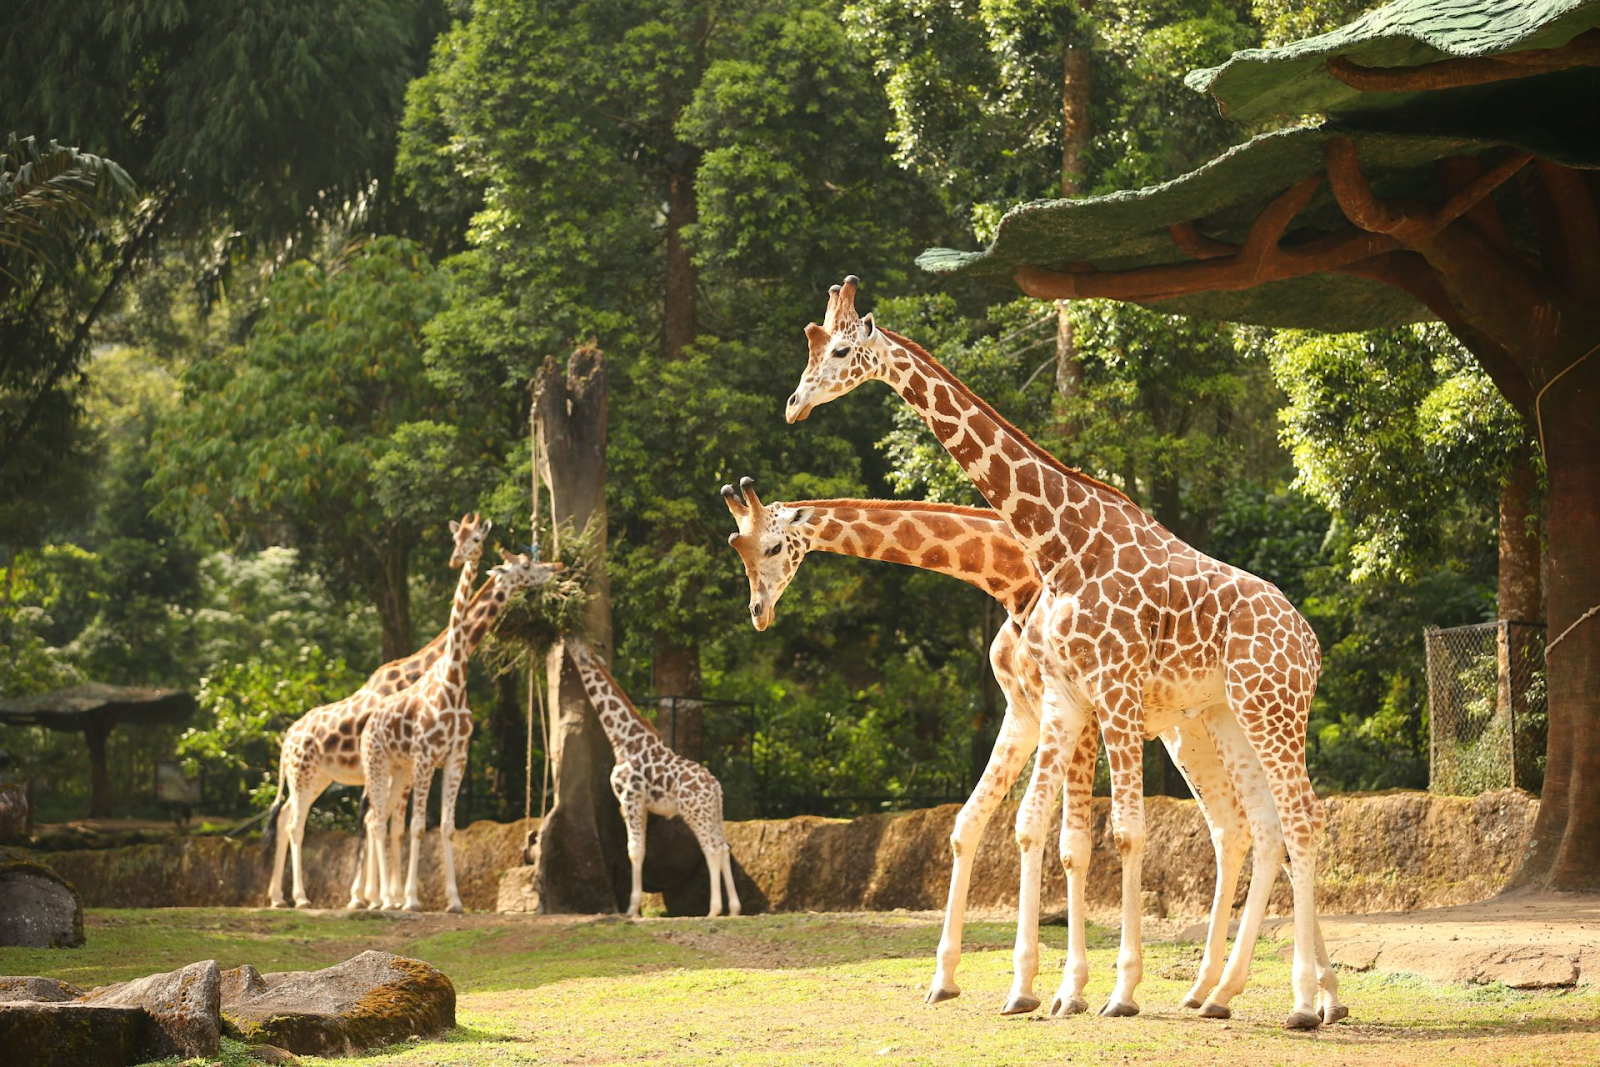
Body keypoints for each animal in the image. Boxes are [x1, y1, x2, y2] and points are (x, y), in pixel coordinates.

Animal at [265, 515, 489, 908]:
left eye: (476, 538)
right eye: (458, 538)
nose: (456, 558)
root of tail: (287, 737)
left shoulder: (418, 764)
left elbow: (391, 824)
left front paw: (383, 896)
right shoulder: (404, 763)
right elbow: (384, 824)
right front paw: (380, 897)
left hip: (316, 778)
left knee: (286, 818)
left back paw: (279, 897)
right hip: (305, 775)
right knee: (295, 824)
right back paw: (302, 898)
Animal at [363, 550, 563, 908]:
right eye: (526, 565)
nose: (557, 567)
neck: (453, 678)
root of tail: (370, 721)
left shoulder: (457, 757)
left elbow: (447, 827)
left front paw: (454, 901)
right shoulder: (426, 757)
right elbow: (418, 826)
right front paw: (412, 900)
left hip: (399, 771)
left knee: (379, 820)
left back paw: (381, 896)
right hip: (377, 764)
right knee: (377, 821)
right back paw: (382, 898)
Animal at [566, 639, 739, 921]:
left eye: (578, 644)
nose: (566, 639)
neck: (622, 739)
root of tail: (715, 787)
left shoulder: (631, 798)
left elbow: (634, 850)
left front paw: (631, 909)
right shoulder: (639, 804)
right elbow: (640, 849)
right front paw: (634, 908)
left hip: (695, 813)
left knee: (712, 849)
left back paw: (714, 910)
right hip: (714, 813)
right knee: (723, 848)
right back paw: (734, 909)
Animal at [780, 279, 1331, 1030]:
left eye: (838, 351)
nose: (794, 403)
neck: (1059, 543)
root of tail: (1310, 641)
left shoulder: (1113, 689)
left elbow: (1123, 832)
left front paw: (1115, 992)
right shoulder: (1068, 698)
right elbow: (1054, 834)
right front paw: (1050, 988)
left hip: (1271, 707)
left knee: (1301, 822)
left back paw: (1304, 1002)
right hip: (1226, 717)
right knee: (1259, 827)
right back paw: (1221, 993)